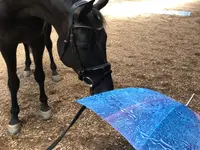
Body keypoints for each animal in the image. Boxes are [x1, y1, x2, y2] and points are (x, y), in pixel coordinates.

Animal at [0, 0, 112, 135]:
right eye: (83, 45)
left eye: (105, 39)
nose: (107, 88)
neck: (16, 6)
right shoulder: (6, 45)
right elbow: (13, 83)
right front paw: (14, 118)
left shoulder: (37, 39)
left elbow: (39, 75)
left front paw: (44, 106)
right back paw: (27, 67)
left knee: (47, 44)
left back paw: (53, 71)